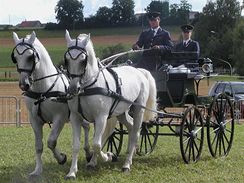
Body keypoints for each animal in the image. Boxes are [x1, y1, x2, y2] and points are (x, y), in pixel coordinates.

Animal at [11, 31, 94, 177]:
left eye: (30, 56)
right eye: (15, 57)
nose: (23, 84)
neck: (43, 89)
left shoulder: (59, 118)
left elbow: (51, 142)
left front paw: (61, 158)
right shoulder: (34, 120)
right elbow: (39, 146)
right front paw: (37, 170)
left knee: (87, 127)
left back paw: (89, 153)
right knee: (86, 126)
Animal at [64, 30, 156, 179]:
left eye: (83, 60)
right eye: (67, 59)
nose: (73, 89)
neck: (88, 87)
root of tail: (139, 71)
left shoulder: (101, 117)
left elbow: (97, 143)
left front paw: (108, 156)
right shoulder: (75, 117)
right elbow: (76, 145)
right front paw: (72, 172)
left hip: (138, 109)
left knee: (136, 132)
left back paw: (127, 164)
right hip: (121, 113)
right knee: (130, 128)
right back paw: (130, 154)